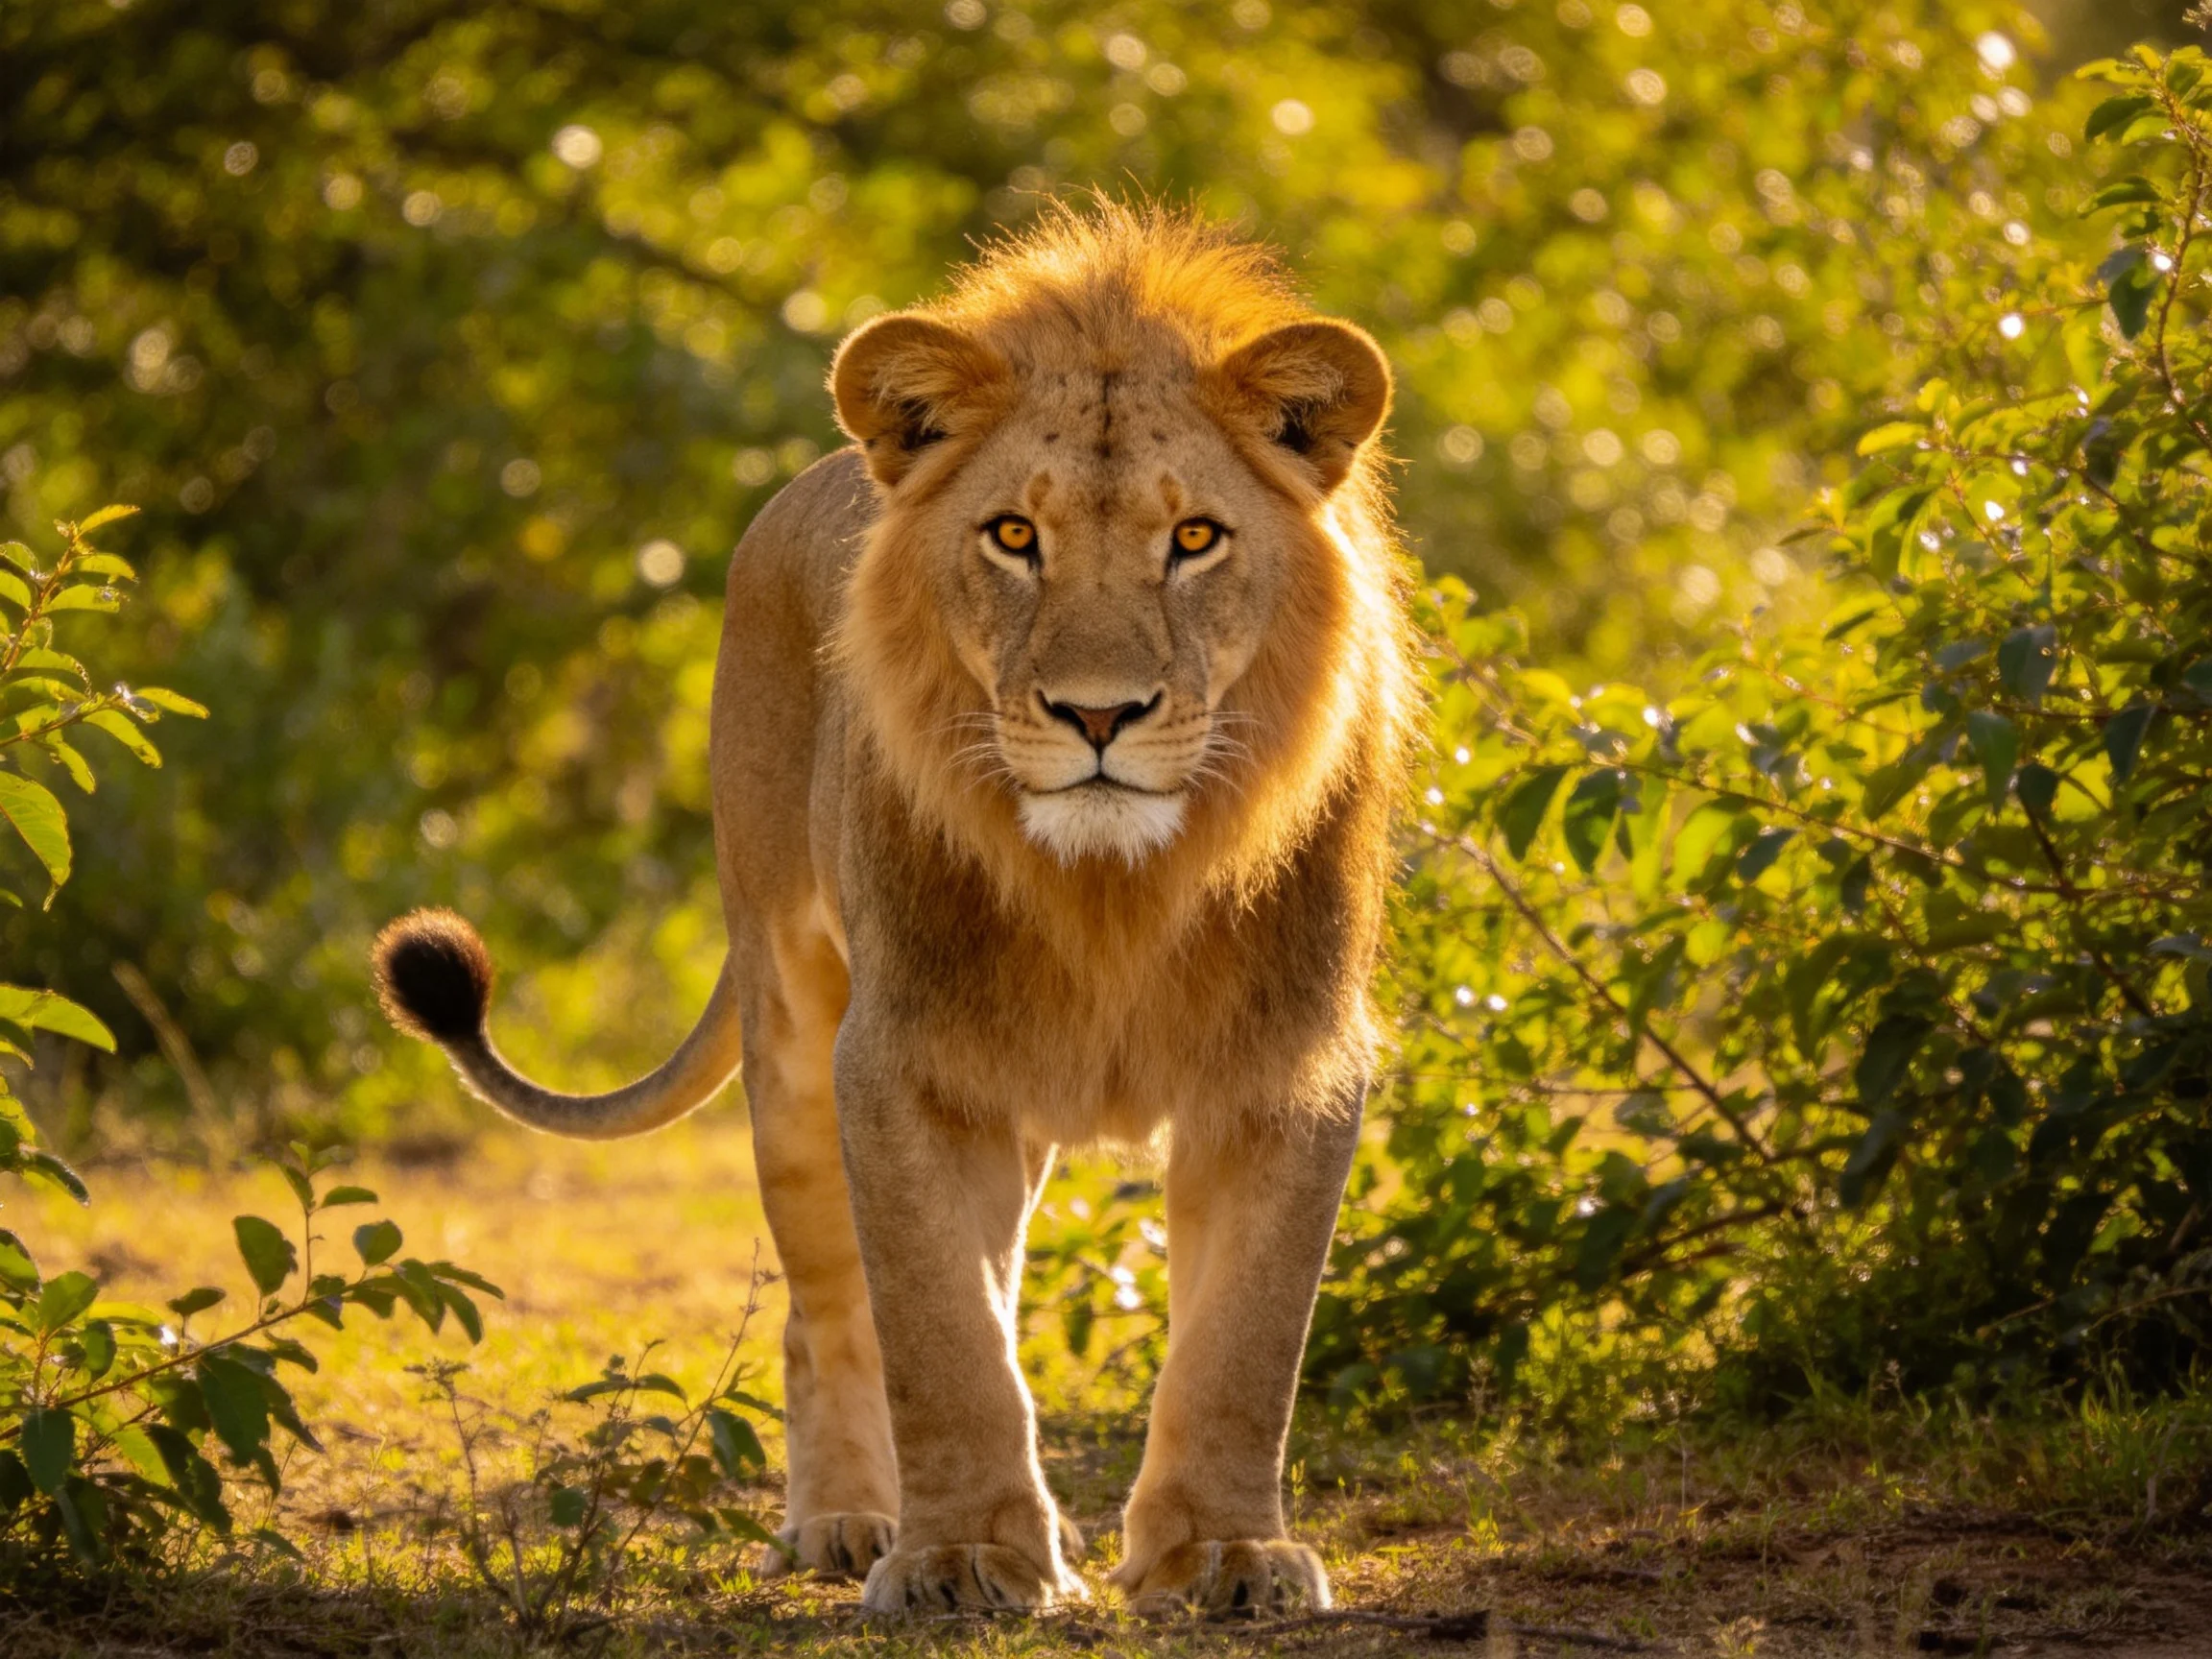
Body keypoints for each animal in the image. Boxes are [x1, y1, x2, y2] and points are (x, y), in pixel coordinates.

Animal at [371, 202, 1415, 1618]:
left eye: (1195, 539)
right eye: (1013, 537)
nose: (1098, 716)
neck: (1114, 887)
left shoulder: (1290, 1062)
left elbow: (1246, 1344)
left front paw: (1223, 1554)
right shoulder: (900, 1060)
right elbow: (937, 1332)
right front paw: (963, 1554)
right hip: (788, 1017)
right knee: (821, 1309)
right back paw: (846, 1523)